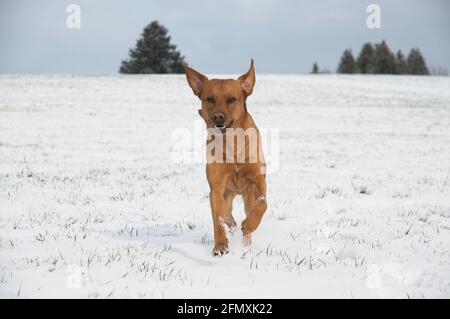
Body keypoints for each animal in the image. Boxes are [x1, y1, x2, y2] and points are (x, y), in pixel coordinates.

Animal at [183, 60, 268, 258]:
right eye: (209, 99)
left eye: (231, 99)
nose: (218, 117)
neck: (233, 144)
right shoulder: (216, 188)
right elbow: (218, 219)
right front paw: (220, 246)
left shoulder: (259, 180)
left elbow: (262, 204)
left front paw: (249, 224)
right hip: (226, 194)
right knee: (227, 214)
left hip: (247, 194)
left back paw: (246, 240)